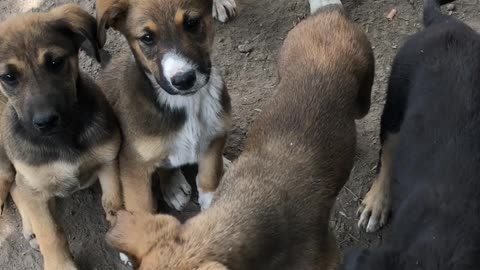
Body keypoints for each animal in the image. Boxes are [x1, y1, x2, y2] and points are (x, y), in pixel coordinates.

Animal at [0, 4, 122, 270]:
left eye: (55, 62)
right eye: (8, 77)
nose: (45, 121)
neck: (63, 138)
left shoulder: (108, 160)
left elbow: (116, 202)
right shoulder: (35, 183)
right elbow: (50, 232)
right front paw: (60, 264)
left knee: (17, 186)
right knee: (13, 184)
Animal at [95, 0, 231, 215]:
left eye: (192, 23)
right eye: (147, 38)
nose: (183, 80)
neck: (185, 103)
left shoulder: (216, 136)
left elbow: (208, 180)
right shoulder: (134, 167)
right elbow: (143, 210)